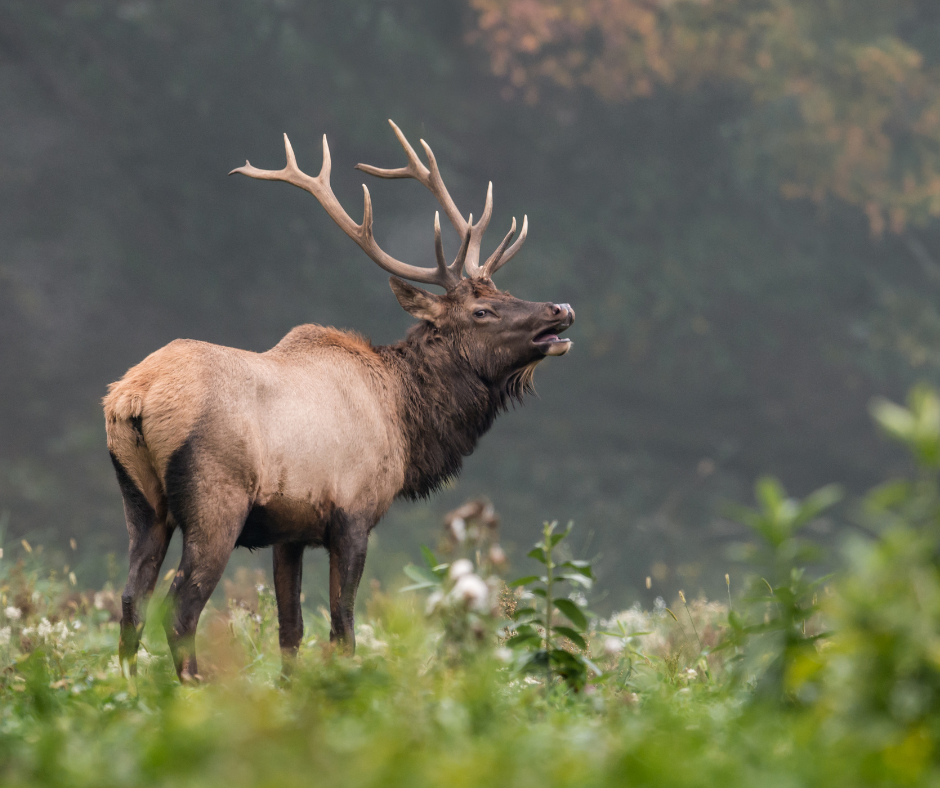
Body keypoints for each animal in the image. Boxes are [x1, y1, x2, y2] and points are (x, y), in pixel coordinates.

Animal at [103, 120, 572, 680]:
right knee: (179, 609)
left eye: (505, 291)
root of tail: (132, 397)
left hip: (142, 502)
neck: (405, 420)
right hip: (215, 499)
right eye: (481, 310)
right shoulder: (352, 513)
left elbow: (290, 631)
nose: (560, 308)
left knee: (130, 601)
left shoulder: (288, 530)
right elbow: (343, 628)